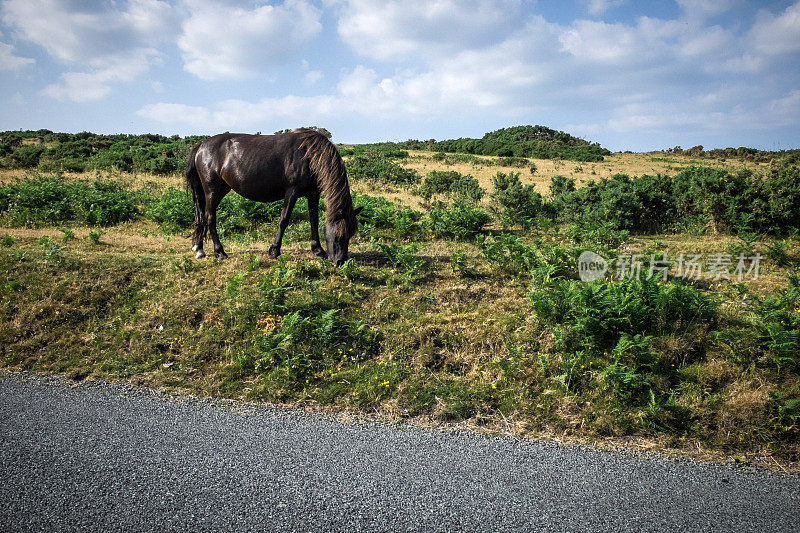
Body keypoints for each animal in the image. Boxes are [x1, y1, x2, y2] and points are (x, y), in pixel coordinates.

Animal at [184, 127, 360, 264]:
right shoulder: (292, 192)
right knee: (210, 218)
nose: (340, 261)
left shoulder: (313, 194)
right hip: (212, 190)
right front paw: (274, 250)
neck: (310, 155)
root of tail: (201, 146)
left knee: (202, 216)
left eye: (350, 234)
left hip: (220, 190)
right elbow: (284, 220)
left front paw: (318, 250)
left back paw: (199, 248)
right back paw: (219, 252)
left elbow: (314, 220)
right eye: (339, 235)